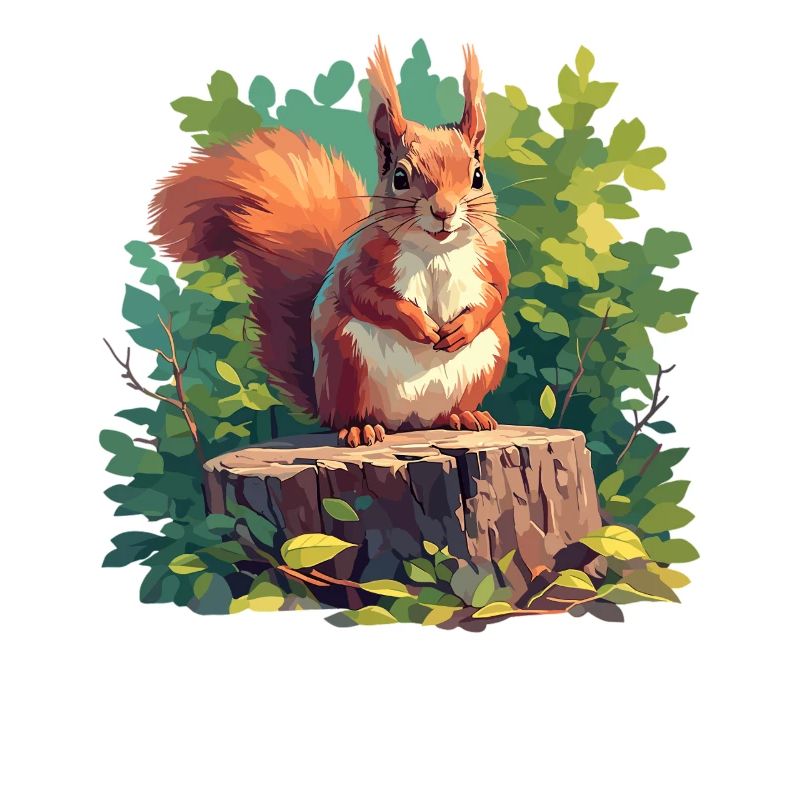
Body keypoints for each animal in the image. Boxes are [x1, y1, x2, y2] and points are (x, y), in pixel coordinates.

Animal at [150, 41, 510, 447]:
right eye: (400, 177)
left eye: (477, 176)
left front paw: (461, 327)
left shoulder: (492, 257)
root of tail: (411, 423)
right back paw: (360, 427)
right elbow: (361, 293)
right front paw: (418, 324)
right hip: (347, 362)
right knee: (351, 413)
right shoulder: (361, 259)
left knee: (452, 406)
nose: (444, 211)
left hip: (487, 358)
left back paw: (465, 415)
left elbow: (497, 294)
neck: (435, 250)